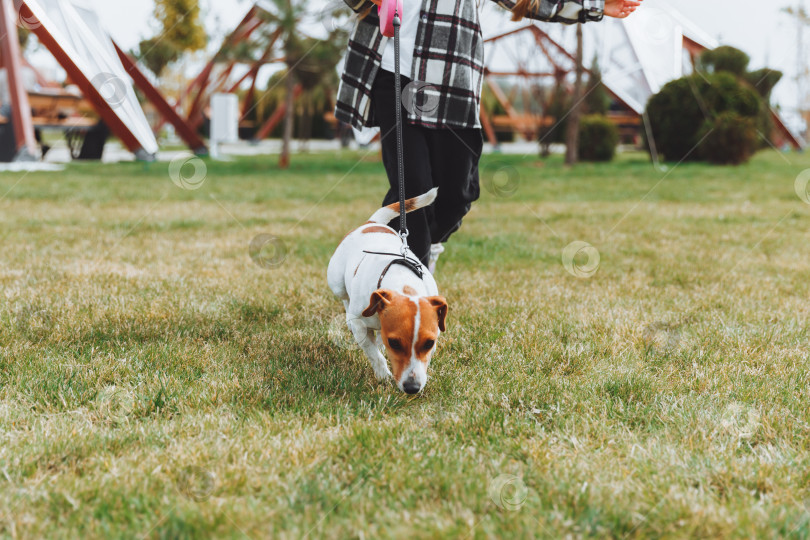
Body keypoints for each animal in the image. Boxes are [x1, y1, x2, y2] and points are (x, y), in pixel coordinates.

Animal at [326, 188, 446, 394]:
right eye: (395, 343)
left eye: (429, 343)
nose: (412, 387)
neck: (403, 283)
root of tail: (372, 223)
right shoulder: (360, 324)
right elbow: (373, 352)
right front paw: (383, 375)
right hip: (336, 283)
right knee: (345, 298)